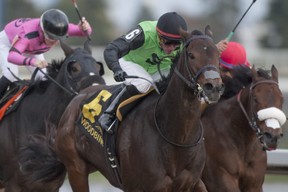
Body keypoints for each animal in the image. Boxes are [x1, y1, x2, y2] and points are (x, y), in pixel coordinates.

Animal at [19, 26, 224, 191]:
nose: (213, 87)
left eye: (217, 55)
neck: (176, 136)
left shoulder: (193, 182)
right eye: (191, 55)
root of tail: (80, 94)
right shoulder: (141, 186)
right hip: (76, 168)